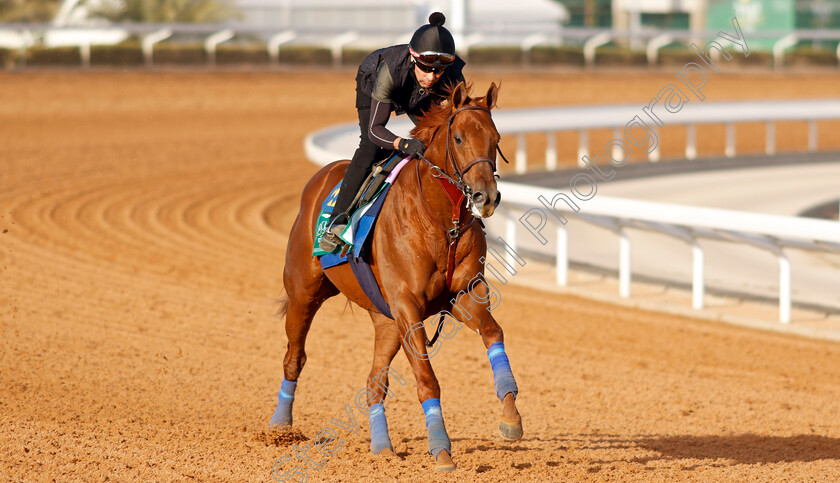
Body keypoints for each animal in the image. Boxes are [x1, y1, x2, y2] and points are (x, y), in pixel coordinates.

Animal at [272, 82, 520, 472]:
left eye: (495, 139)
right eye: (459, 137)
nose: (487, 196)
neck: (440, 221)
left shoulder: (462, 294)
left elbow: (494, 332)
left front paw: (510, 418)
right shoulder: (407, 306)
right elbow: (427, 380)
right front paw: (441, 450)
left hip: (385, 320)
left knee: (374, 382)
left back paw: (382, 447)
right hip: (304, 293)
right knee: (294, 358)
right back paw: (280, 428)